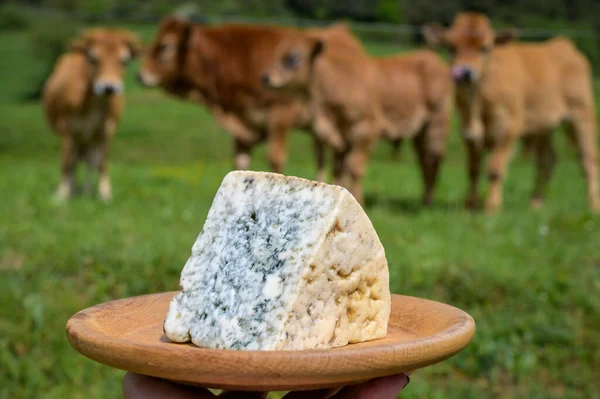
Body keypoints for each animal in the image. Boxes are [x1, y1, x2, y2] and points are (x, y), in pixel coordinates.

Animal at [43, 29, 142, 202]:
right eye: (94, 58)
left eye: (125, 61)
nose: (109, 87)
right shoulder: (67, 129)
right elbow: (67, 162)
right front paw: (62, 195)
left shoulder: (106, 130)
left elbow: (102, 162)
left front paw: (105, 195)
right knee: (74, 160)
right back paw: (73, 190)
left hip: (90, 139)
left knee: (90, 161)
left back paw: (86, 192)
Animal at [137, 17, 328, 180]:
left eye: (165, 46)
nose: (139, 75)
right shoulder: (243, 127)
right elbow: (239, 162)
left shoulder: (280, 116)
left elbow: (275, 158)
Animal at [264, 25, 452, 206]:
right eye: (278, 54)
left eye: (292, 58)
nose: (265, 77)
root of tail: (432, 57)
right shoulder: (341, 138)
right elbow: (338, 168)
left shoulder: (367, 129)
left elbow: (354, 168)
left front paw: (359, 199)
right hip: (420, 132)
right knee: (424, 160)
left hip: (436, 125)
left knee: (433, 159)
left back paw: (428, 202)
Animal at [424, 11, 596, 212]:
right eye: (451, 47)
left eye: (485, 48)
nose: (466, 72)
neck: (478, 101)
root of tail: (564, 45)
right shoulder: (467, 132)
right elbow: (473, 169)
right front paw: (471, 204)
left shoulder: (509, 127)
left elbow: (494, 169)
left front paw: (491, 206)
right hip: (542, 127)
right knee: (547, 160)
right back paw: (536, 203)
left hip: (581, 115)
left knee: (588, 161)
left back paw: (593, 206)